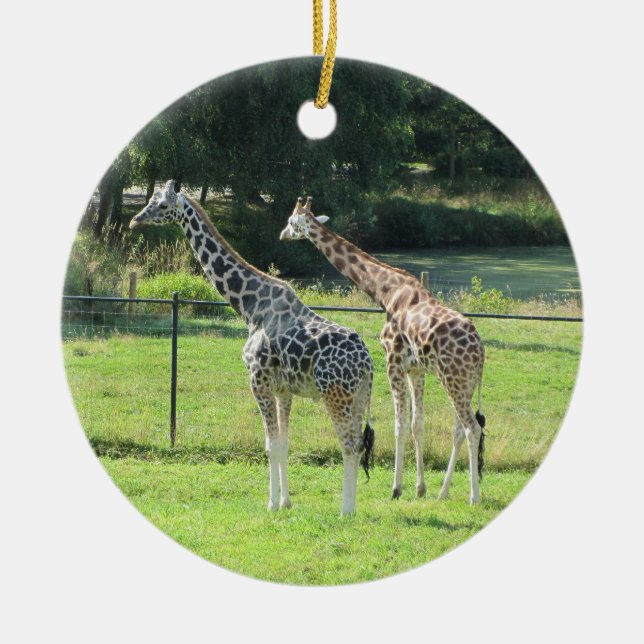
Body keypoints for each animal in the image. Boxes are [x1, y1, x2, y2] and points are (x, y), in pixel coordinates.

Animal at [129, 182, 375, 515]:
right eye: (151, 200)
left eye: (163, 205)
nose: (135, 220)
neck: (249, 307)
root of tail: (367, 362)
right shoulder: (283, 389)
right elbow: (283, 444)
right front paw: (285, 502)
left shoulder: (258, 380)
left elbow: (270, 447)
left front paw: (271, 504)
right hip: (359, 395)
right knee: (359, 443)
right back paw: (351, 506)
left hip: (336, 394)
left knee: (349, 444)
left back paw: (346, 511)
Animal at [280, 197, 486, 504]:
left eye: (292, 221)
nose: (282, 235)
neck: (386, 292)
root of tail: (480, 352)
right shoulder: (416, 369)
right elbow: (417, 424)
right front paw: (420, 488)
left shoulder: (394, 360)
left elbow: (399, 425)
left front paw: (396, 488)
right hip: (466, 382)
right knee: (460, 428)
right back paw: (443, 492)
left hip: (454, 379)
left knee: (472, 427)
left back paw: (474, 497)